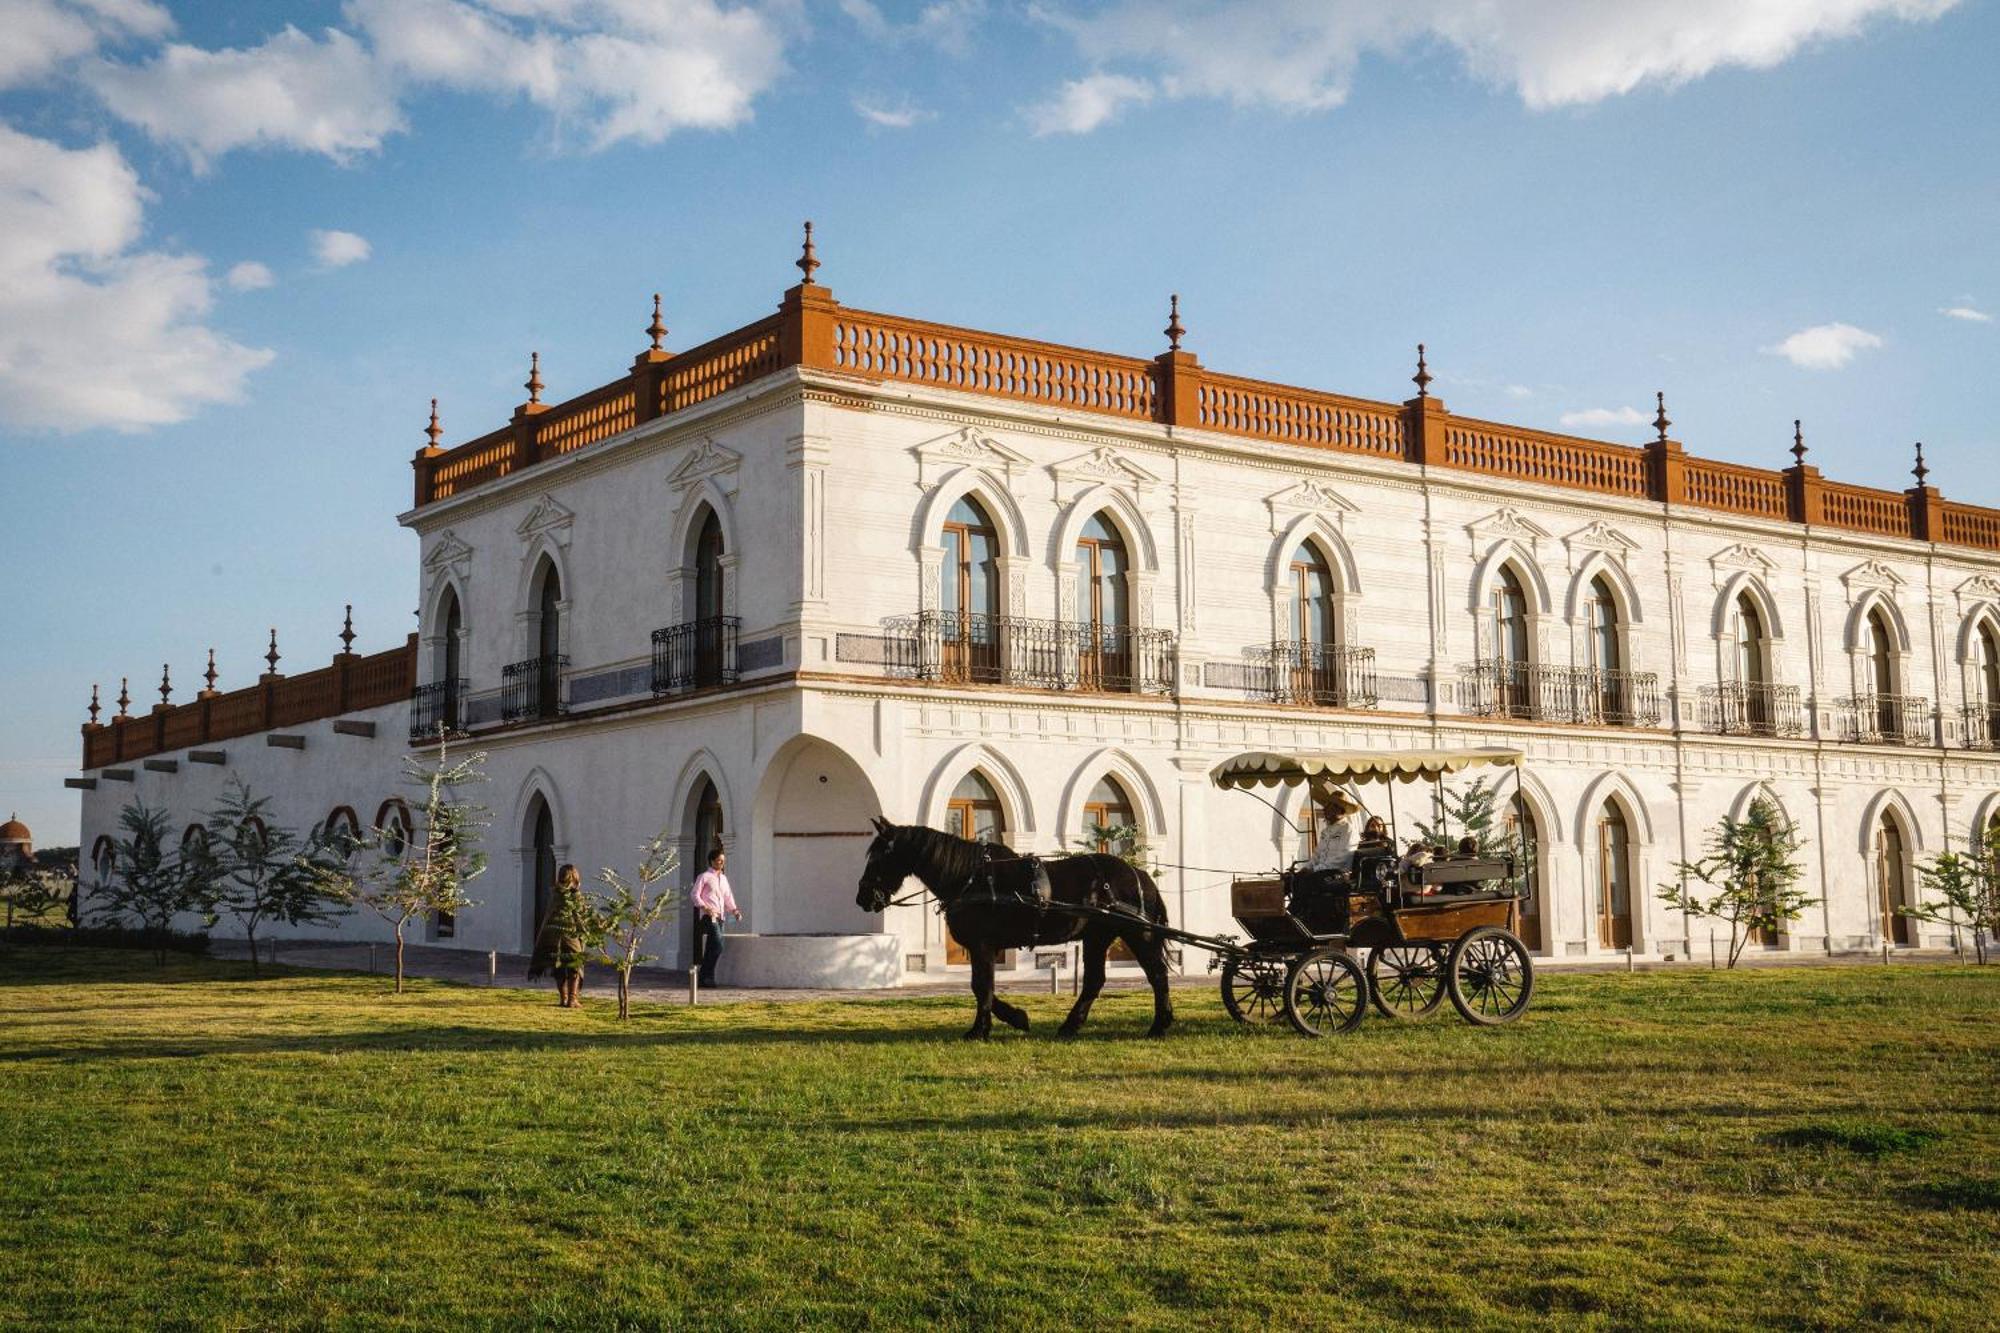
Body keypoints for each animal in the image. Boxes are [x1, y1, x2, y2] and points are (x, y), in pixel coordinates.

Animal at [856, 808, 1168, 1040]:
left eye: (879, 857)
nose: (863, 898)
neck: (971, 878)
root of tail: (1139, 875)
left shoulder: (981, 945)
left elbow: (980, 986)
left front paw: (980, 1030)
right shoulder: (986, 947)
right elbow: (984, 987)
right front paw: (1015, 1018)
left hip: (1138, 933)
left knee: (1157, 975)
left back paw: (1159, 1025)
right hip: (1097, 936)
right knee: (1094, 981)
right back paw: (1069, 1026)